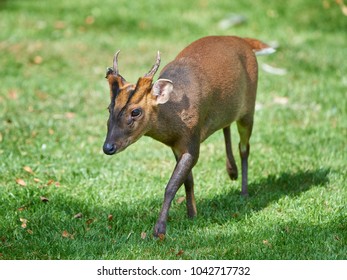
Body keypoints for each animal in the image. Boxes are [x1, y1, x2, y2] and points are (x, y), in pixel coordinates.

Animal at [102, 35, 276, 236]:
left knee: (245, 147)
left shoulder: (192, 140)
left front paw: (159, 229)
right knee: (226, 125)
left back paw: (244, 191)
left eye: (135, 111)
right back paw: (232, 171)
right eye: (109, 108)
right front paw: (192, 214)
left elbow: (171, 185)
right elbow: (188, 181)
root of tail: (244, 41)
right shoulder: (176, 146)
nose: (108, 147)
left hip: (249, 107)